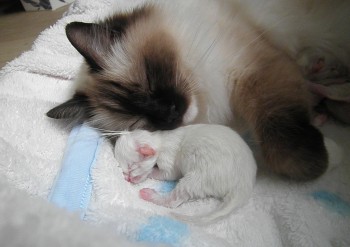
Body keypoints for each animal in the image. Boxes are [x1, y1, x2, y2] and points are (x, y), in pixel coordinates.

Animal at [47, 0, 334, 181]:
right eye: (138, 122)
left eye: (149, 80)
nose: (170, 114)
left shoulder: (253, 68)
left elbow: (279, 137)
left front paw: (313, 166)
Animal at [115, 124, 258, 225]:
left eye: (131, 166)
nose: (127, 178)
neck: (159, 139)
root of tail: (244, 185)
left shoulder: (168, 159)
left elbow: (168, 174)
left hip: (200, 177)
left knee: (173, 201)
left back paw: (149, 195)